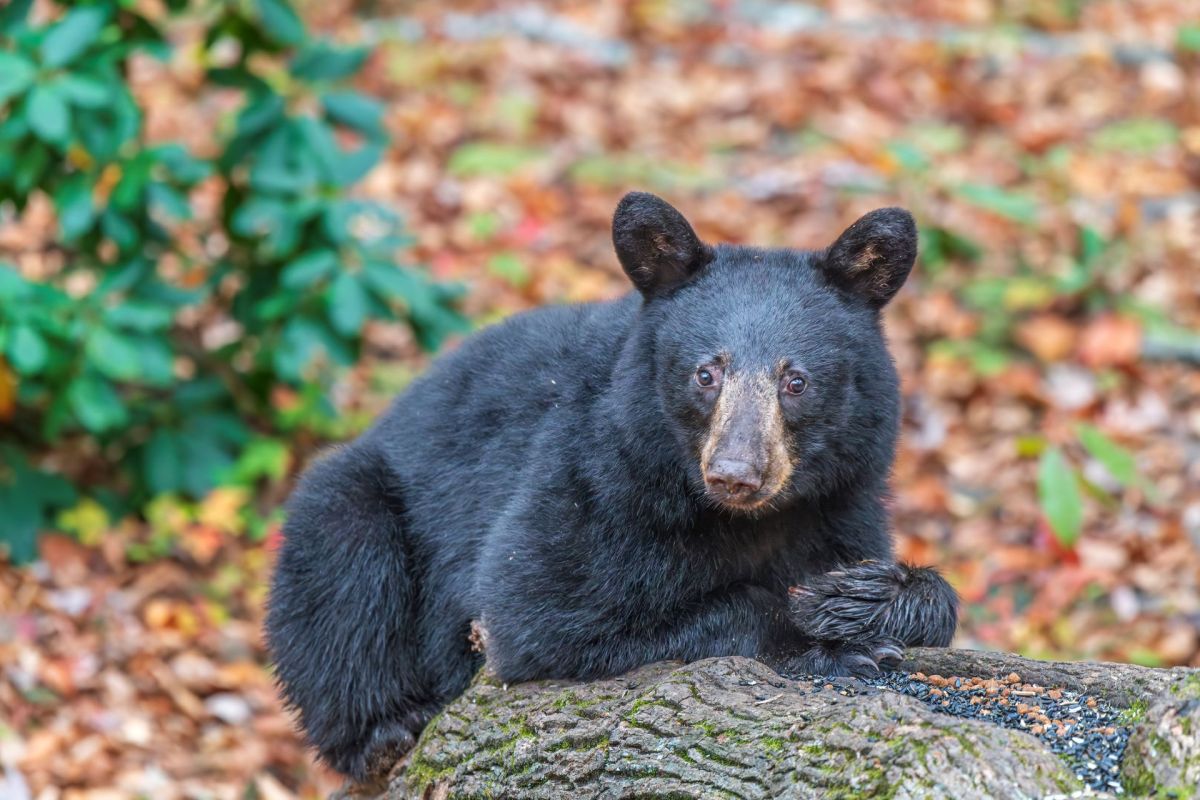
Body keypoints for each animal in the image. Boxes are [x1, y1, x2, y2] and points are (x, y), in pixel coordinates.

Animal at [265, 192, 959, 783]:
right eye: (706, 373)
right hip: (357, 500)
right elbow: (539, 604)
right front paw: (824, 644)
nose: (735, 474)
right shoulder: (594, 477)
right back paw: (383, 730)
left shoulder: (841, 502)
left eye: (797, 381)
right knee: (343, 572)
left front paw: (860, 597)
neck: (745, 518)